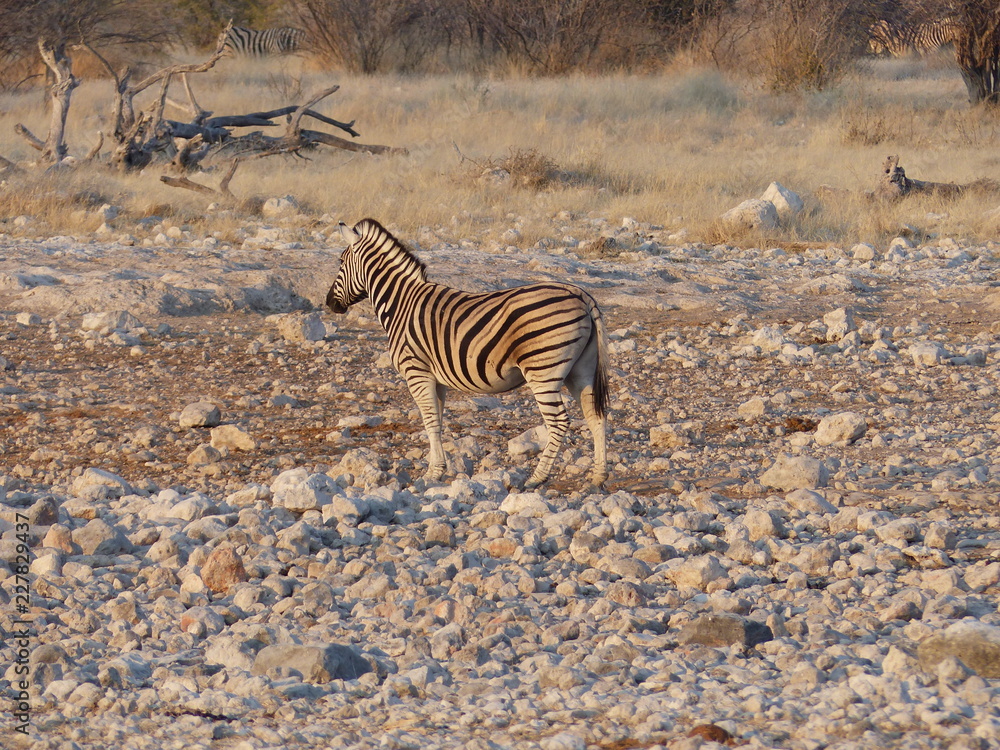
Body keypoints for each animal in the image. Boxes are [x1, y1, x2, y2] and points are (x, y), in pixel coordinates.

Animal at [326, 219, 610, 490]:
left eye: (340, 261)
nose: (329, 303)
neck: (401, 304)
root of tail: (582, 295)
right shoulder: (436, 378)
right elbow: (437, 422)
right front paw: (438, 469)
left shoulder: (416, 372)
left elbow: (430, 422)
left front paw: (431, 474)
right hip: (581, 370)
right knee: (595, 416)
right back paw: (597, 478)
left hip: (543, 370)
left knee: (559, 422)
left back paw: (536, 478)